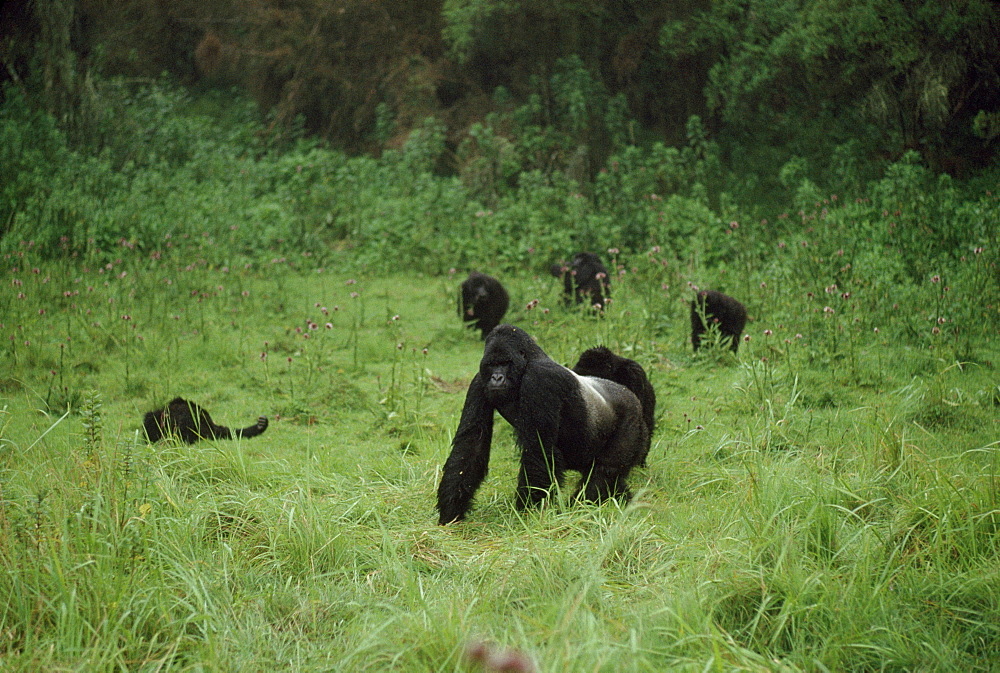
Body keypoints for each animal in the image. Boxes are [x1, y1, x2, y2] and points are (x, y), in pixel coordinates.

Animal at [438, 322, 648, 524]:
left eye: (505, 363)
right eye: (492, 364)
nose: (496, 377)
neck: (528, 362)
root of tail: (632, 396)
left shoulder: (540, 379)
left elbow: (538, 450)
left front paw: (526, 513)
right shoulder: (479, 381)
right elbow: (471, 445)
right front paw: (451, 511)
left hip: (632, 419)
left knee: (604, 471)